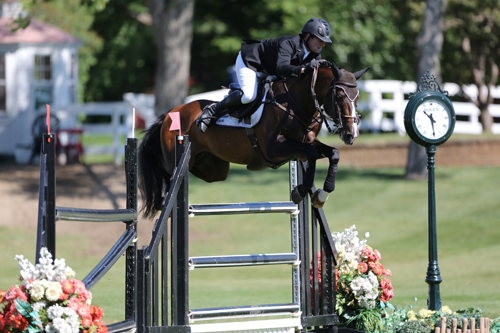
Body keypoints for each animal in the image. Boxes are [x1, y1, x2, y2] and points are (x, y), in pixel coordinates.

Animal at [139, 61, 370, 219]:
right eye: (339, 96)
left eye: (357, 97)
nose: (351, 134)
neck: (295, 103)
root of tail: (170, 114)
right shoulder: (273, 149)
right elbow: (312, 154)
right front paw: (300, 191)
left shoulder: (304, 144)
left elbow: (333, 154)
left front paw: (322, 194)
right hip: (179, 157)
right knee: (168, 172)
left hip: (214, 169)